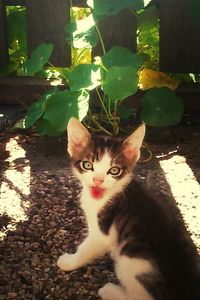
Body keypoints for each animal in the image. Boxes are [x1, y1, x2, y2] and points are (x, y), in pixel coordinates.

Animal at [57, 118, 199, 300]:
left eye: (114, 170)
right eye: (87, 165)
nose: (98, 180)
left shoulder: (102, 234)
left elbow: (86, 248)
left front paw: (68, 262)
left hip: (131, 260)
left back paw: (109, 290)